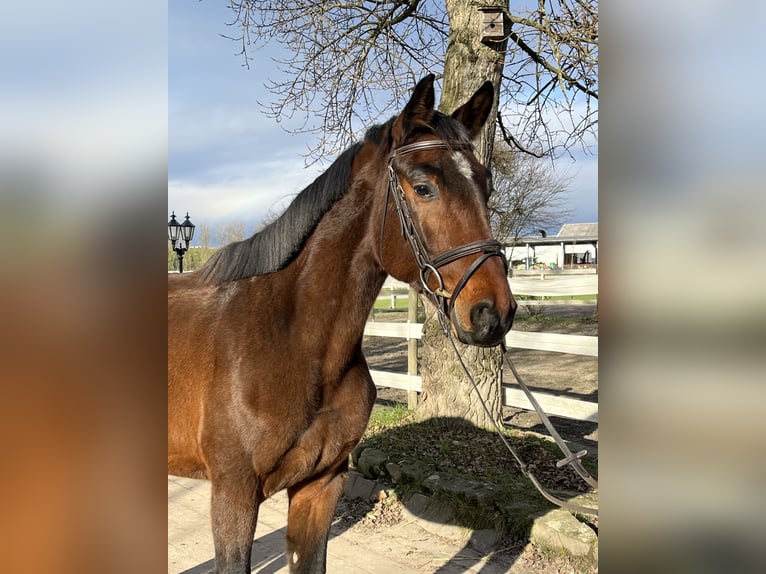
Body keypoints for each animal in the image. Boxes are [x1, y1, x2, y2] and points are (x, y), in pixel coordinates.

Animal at [167, 76, 516, 574]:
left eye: (486, 185)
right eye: (423, 186)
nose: (492, 312)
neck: (295, 341)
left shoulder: (321, 485)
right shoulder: (233, 495)